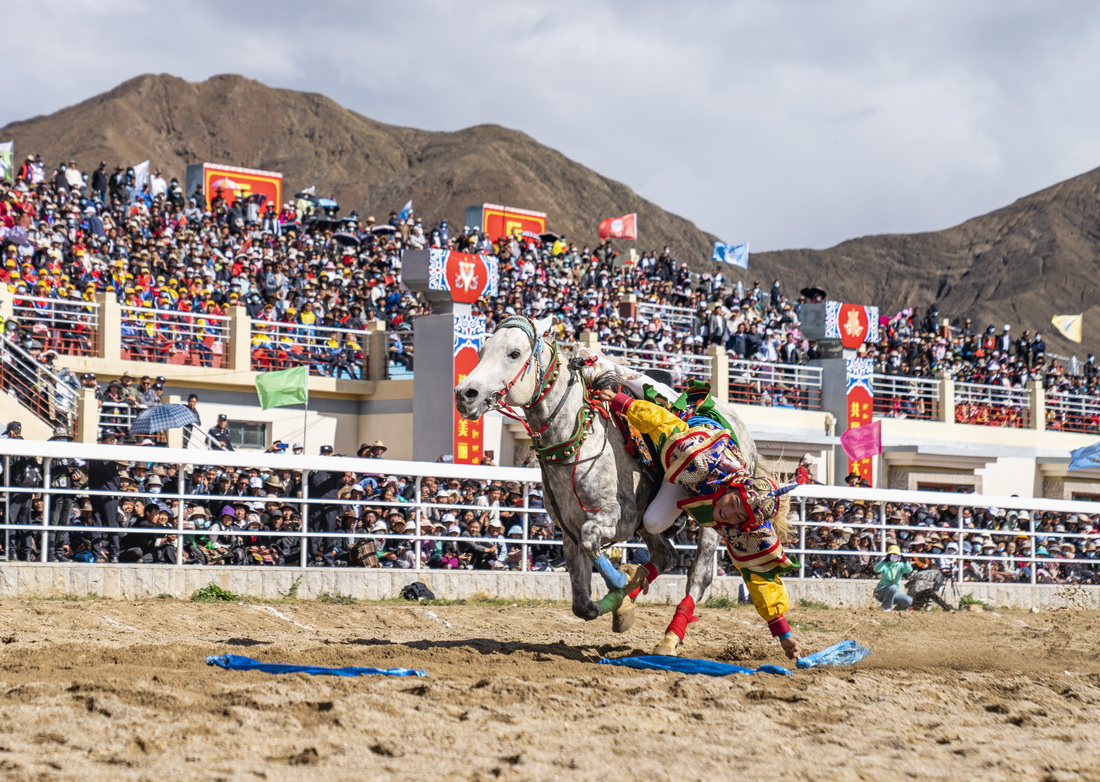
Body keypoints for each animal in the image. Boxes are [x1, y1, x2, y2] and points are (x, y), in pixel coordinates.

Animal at [453, 314, 756, 655]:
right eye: (481, 351)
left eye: (514, 353)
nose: (466, 394)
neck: (578, 438)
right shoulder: (568, 530)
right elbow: (583, 605)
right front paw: (621, 602)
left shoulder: (617, 519)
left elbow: (591, 542)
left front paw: (621, 586)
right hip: (649, 523)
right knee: (665, 555)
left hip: (709, 512)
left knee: (699, 574)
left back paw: (669, 637)